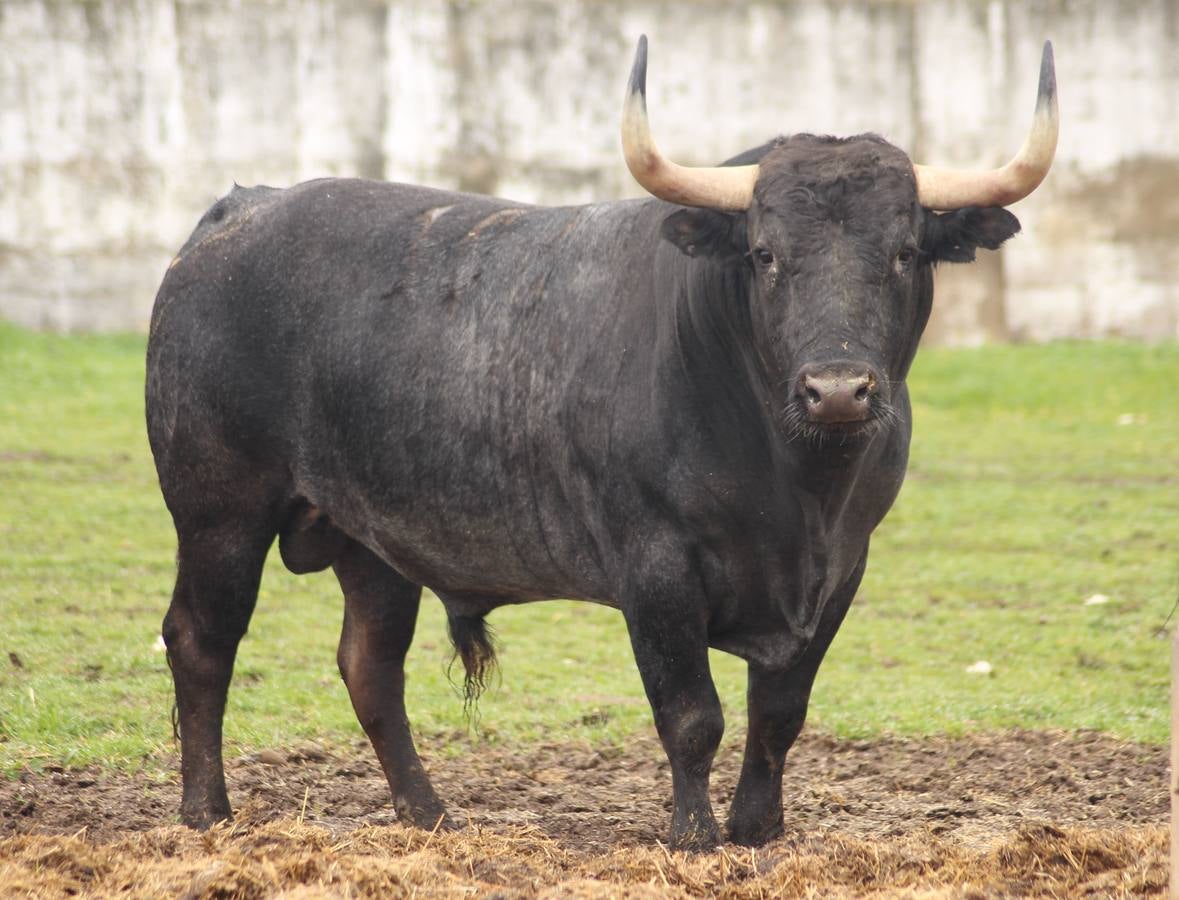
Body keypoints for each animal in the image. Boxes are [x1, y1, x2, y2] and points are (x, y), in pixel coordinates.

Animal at [147, 38, 1061, 853]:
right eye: (765, 254)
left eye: (904, 251)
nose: (836, 390)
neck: (795, 486)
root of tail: (240, 212)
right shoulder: (654, 566)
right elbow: (691, 715)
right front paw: (693, 835)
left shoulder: (841, 568)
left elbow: (778, 713)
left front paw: (757, 828)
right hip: (219, 513)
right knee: (201, 640)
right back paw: (207, 813)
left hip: (371, 542)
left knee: (370, 666)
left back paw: (430, 816)